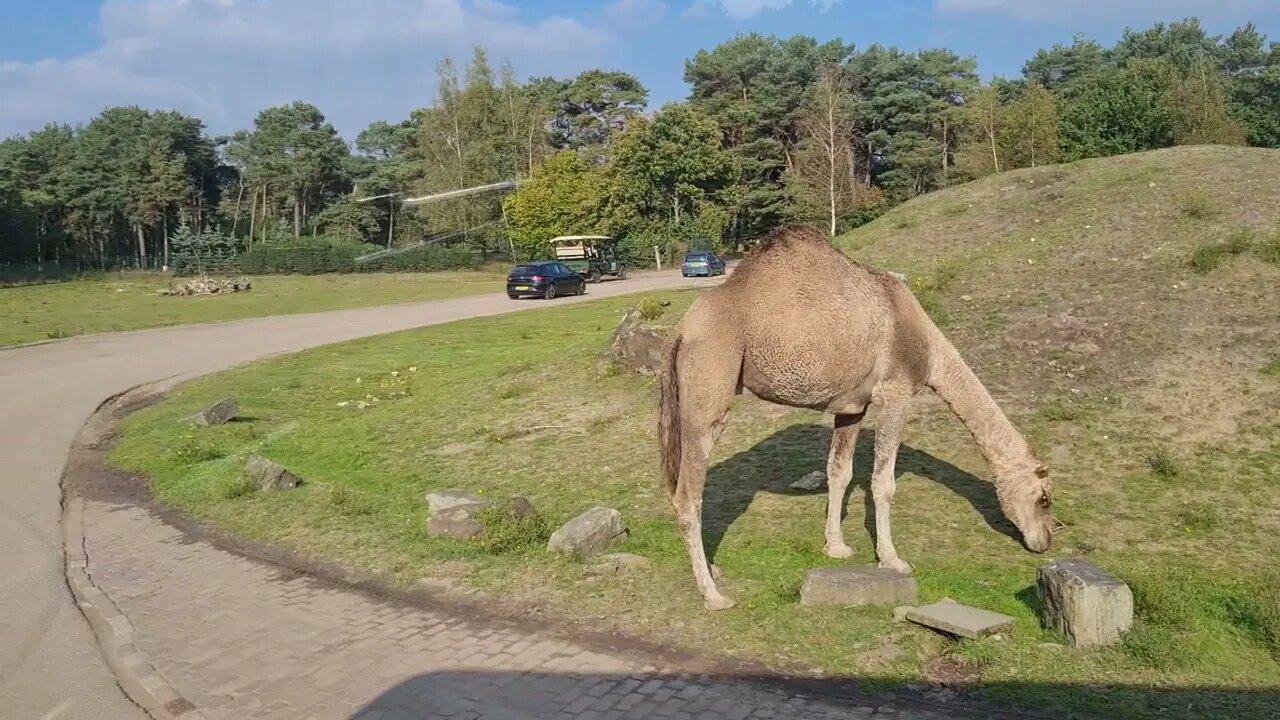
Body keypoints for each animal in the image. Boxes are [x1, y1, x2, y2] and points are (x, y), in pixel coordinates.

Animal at [655, 224, 1054, 604]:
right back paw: (713, 595)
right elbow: (883, 483)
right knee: (688, 494)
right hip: (709, 387)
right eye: (1044, 498)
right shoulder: (895, 391)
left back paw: (713, 569)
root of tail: (679, 332)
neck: (928, 344)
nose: (1045, 541)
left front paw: (836, 546)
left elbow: (840, 472)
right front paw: (892, 559)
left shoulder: (852, 407)